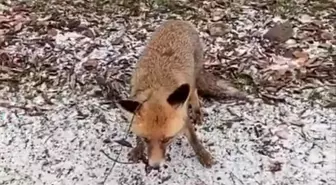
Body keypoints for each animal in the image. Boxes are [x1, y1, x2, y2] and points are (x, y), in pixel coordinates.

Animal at [117, 19, 214, 168]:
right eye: (146, 139)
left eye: (167, 139)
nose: (155, 166)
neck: (156, 89)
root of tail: (178, 20)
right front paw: (138, 148)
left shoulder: (183, 117)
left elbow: (193, 138)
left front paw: (202, 154)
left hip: (193, 79)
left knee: (194, 93)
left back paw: (197, 111)